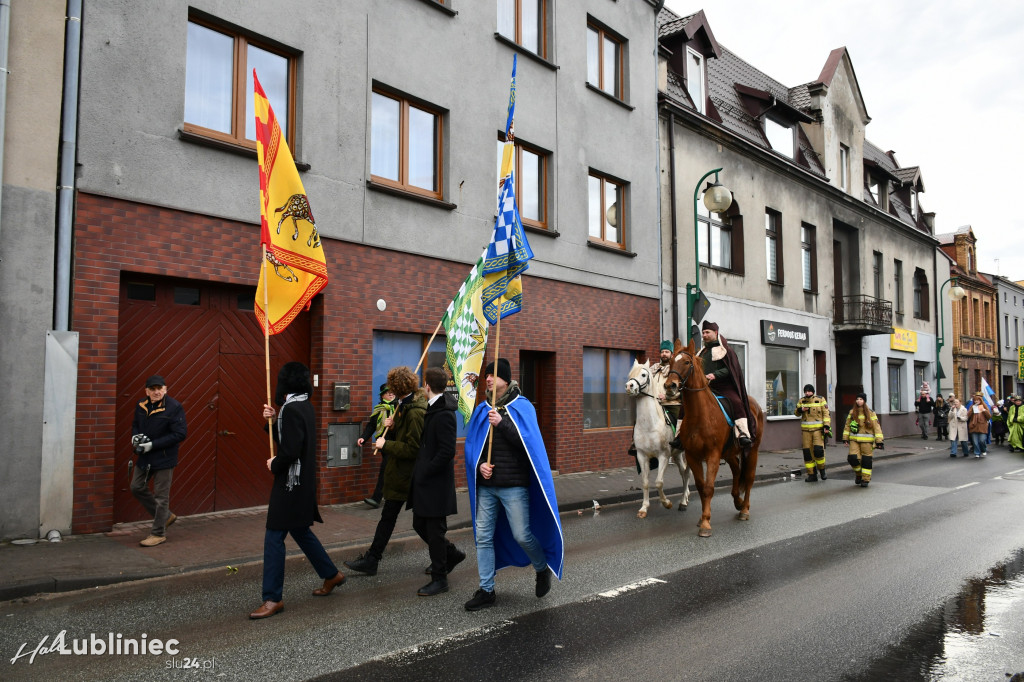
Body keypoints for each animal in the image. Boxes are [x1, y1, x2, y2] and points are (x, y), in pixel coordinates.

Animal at [618, 360, 692, 516]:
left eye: (643, 374)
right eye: (630, 374)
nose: (629, 386)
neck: (649, 425)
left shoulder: (663, 456)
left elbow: (659, 482)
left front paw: (667, 503)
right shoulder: (642, 456)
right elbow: (645, 482)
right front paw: (644, 508)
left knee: (687, 473)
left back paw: (683, 501)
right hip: (677, 455)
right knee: (683, 473)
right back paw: (686, 495)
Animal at [663, 337, 761, 532]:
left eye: (687, 362)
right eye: (670, 362)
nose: (670, 386)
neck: (701, 414)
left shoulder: (713, 455)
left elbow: (709, 488)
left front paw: (706, 524)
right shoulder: (693, 456)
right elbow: (701, 487)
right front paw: (702, 518)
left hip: (752, 449)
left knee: (749, 477)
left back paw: (744, 509)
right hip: (729, 453)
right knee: (737, 471)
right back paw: (737, 501)